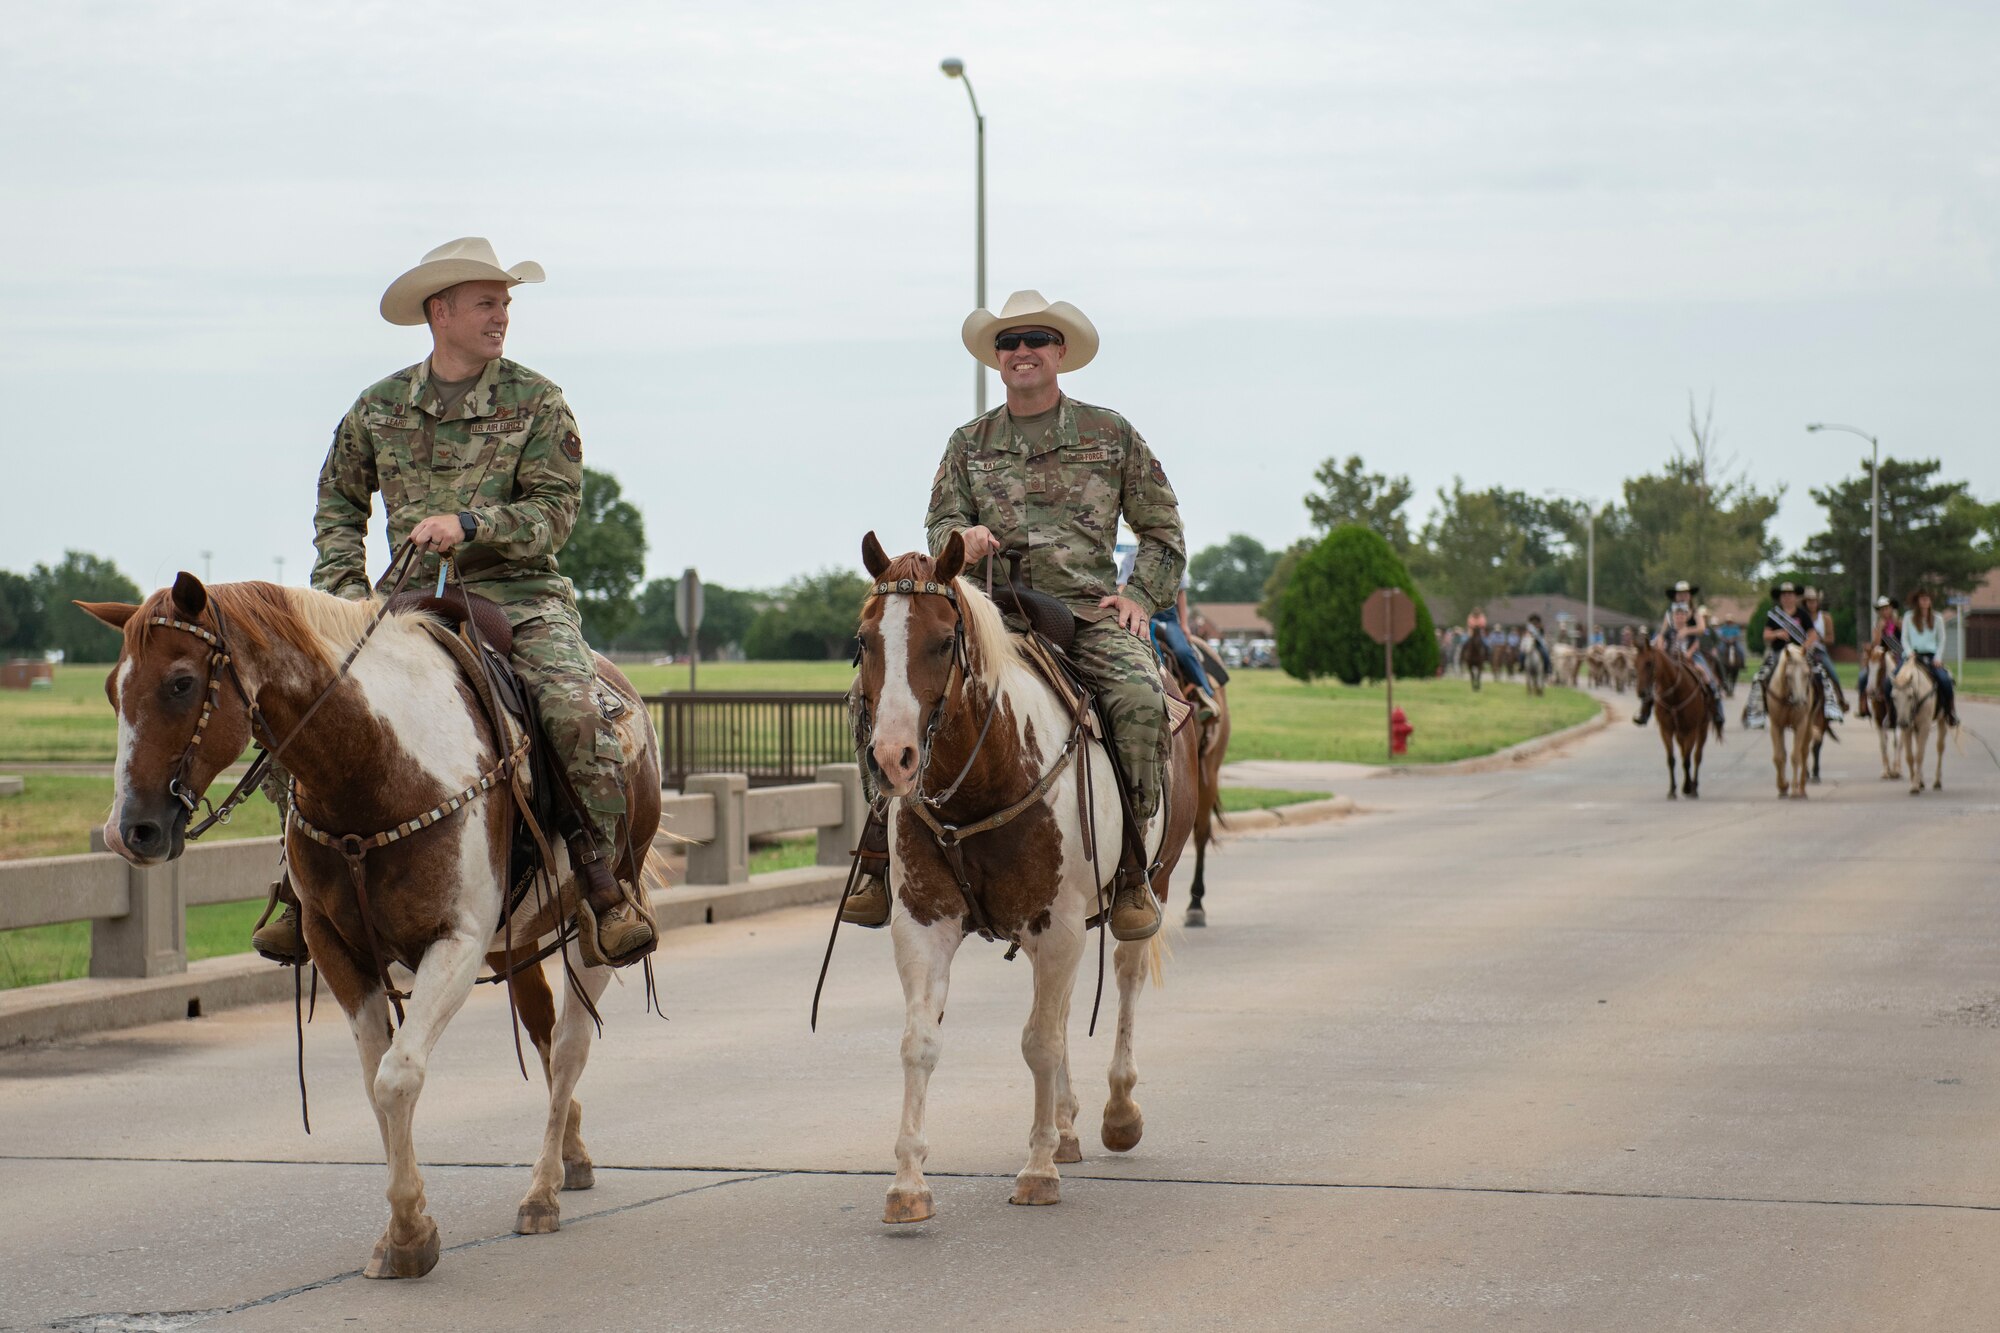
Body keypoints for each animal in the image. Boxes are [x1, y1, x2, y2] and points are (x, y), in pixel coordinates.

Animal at [86, 572, 664, 1280]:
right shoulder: (339, 947)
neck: (375, 763)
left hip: (592, 926)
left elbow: (397, 1075)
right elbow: (372, 1082)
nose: (129, 832)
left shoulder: (456, 942)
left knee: (572, 1045)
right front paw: (402, 1229)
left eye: (179, 683)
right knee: (545, 1034)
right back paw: (572, 1156)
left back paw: (543, 1190)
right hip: (515, 938)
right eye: (113, 690)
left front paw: (412, 1232)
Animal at [856, 532, 1192, 1224]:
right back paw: (1065, 1127)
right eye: (865, 640)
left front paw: (1037, 1170)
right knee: (1059, 1014)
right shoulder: (924, 922)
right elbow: (920, 1041)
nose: (892, 759)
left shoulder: (1056, 923)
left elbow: (1038, 1042)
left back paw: (1118, 1113)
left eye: (942, 640)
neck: (986, 773)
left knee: (1121, 979)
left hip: (1153, 886)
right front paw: (908, 1182)